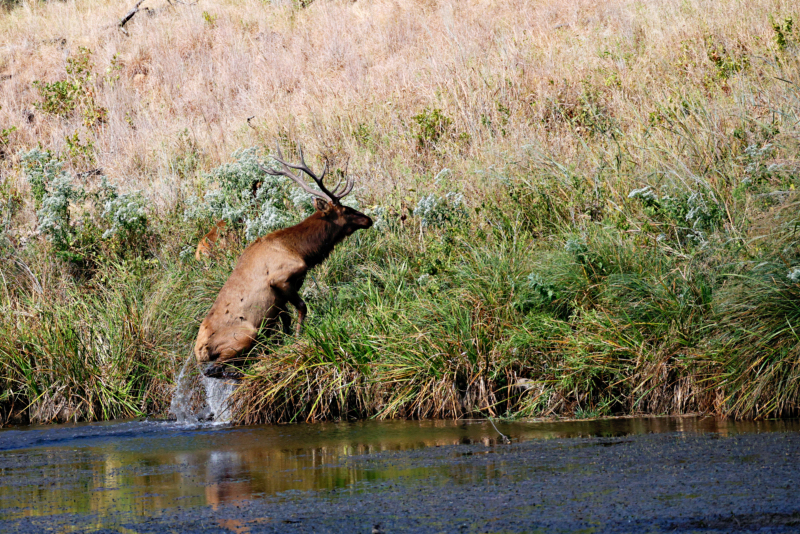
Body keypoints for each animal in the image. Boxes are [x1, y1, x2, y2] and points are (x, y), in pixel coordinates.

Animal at [194, 144, 372, 378]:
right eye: (346, 210)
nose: (368, 219)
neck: (301, 250)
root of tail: (199, 352)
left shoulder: (278, 297)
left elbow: (285, 319)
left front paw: (287, 340)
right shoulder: (280, 279)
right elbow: (302, 307)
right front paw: (299, 336)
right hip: (245, 334)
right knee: (217, 367)